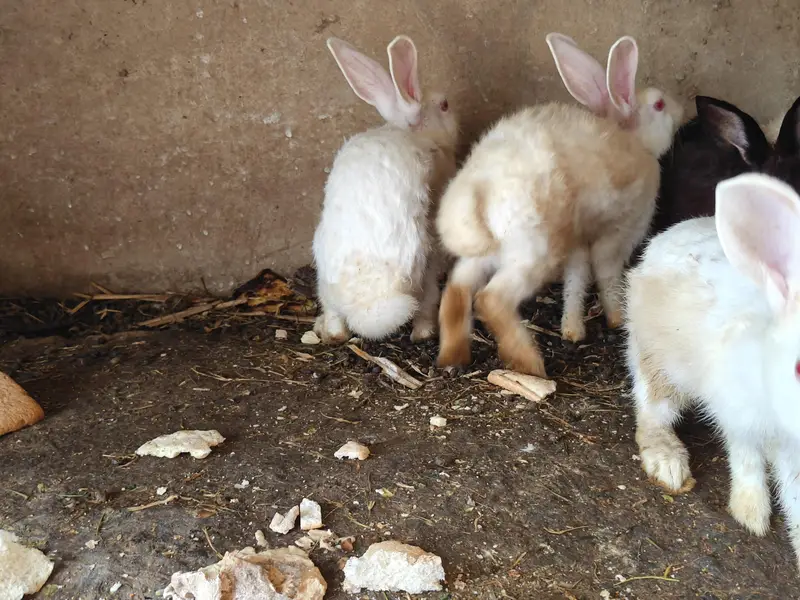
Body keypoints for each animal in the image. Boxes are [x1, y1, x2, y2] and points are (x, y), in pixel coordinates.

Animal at [312, 35, 459, 344]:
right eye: (444, 105)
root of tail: (369, 303)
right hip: (424, 258)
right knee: (427, 299)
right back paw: (425, 331)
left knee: (335, 322)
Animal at [435, 32, 682, 376]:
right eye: (659, 104)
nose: (682, 109)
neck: (636, 142)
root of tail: (478, 189)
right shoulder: (619, 232)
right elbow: (606, 273)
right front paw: (617, 317)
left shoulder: (577, 241)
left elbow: (576, 280)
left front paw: (573, 330)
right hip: (533, 253)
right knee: (490, 300)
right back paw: (529, 363)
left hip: (487, 255)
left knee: (456, 291)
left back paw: (453, 356)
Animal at [624, 172, 800, 569]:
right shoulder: (738, 414)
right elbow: (746, 459)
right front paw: (750, 513)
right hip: (658, 360)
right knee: (651, 410)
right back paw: (667, 463)